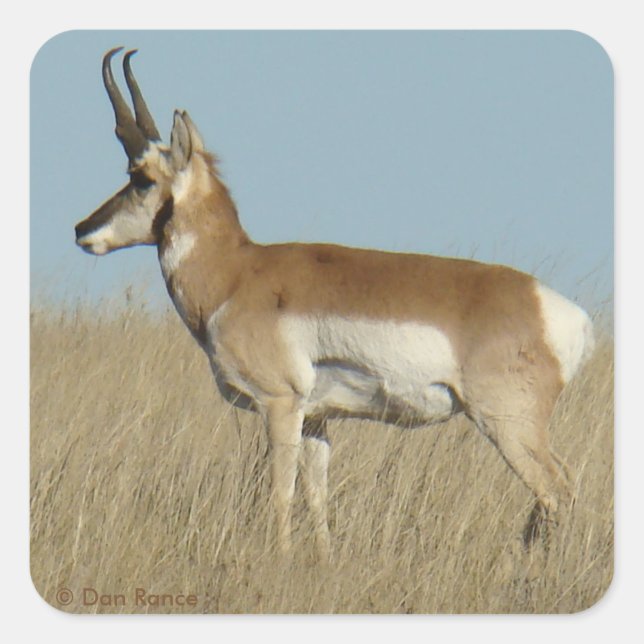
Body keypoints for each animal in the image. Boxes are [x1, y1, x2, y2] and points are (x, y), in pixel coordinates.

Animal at [75, 47, 595, 562]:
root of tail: (562, 312)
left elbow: (280, 492)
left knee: (559, 488)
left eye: (141, 178)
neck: (238, 273)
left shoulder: (280, 405)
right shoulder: (317, 420)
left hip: (507, 425)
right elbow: (315, 495)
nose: (82, 229)